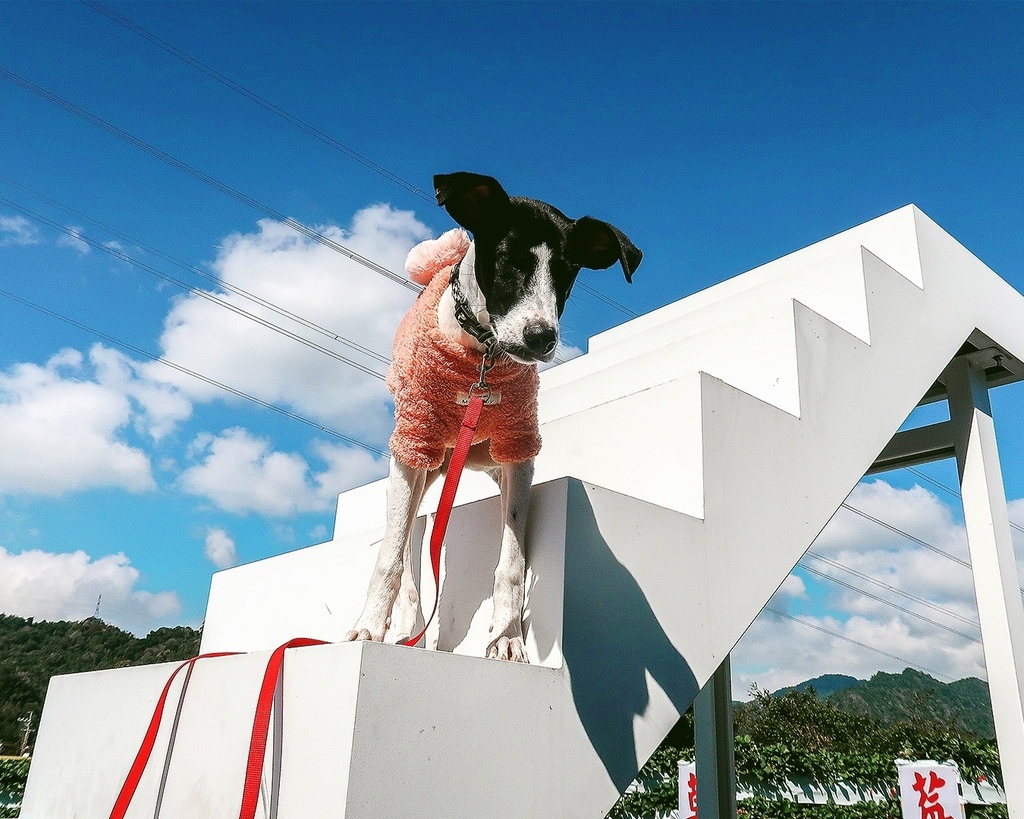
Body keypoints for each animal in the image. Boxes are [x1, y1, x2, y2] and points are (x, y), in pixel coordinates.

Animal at [348, 173, 643, 659]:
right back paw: (405, 622)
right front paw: (368, 628)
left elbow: (512, 559)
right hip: (418, 461)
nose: (542, 337)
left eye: (567, 272)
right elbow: (388, 557)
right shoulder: (414, 439)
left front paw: (507, 637)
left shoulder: (518, 450)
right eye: (507, 260)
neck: (482, 355)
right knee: (403, 540)